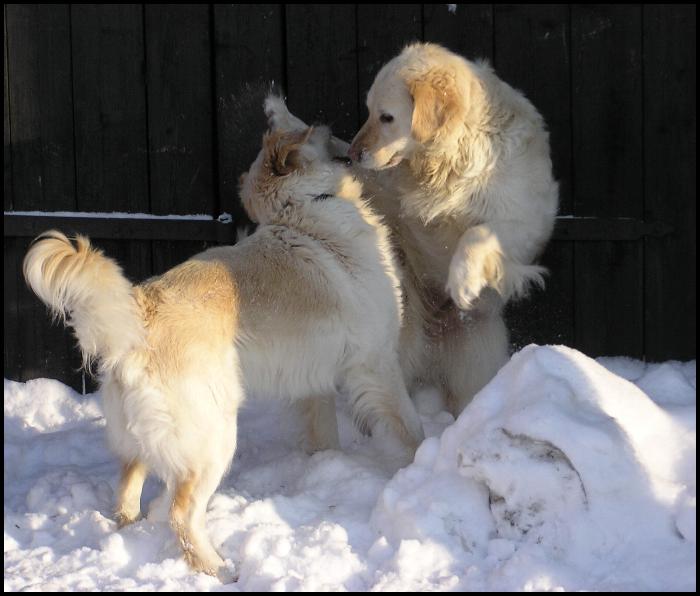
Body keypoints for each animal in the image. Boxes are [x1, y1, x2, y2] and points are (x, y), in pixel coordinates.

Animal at [23, 107, 422, 576]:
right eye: (320, 133)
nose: (354, 145)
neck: (304, 209)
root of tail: (138, 312)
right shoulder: (376, 362)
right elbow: (410, 424)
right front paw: (422, 457)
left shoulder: (316, 381)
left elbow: (324, 433)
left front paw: (326, 466)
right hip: (213, 441)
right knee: (181, 513)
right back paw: (216, 567)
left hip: (142, 440)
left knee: (126, 491)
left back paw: (132, 535)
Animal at [348, 43, 560, 414]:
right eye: (369, 112)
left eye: (386, 117)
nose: (351, 153)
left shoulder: (525, 222)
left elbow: (476, 234)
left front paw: (462, 283)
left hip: (474, 363)